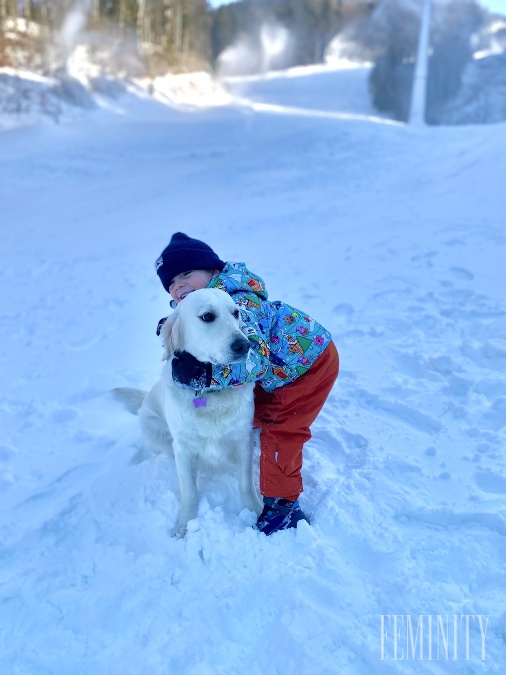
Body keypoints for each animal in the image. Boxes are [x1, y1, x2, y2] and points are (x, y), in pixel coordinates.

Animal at [112, 290, 258, 540]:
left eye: (236, 313)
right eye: (207, 316)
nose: (244, 345)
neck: (210, 391)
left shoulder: (243, 438)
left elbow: (246, 482)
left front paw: (256, 510)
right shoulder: (183, 447)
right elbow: (189, 490)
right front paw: (185, 524)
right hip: (154, 430)